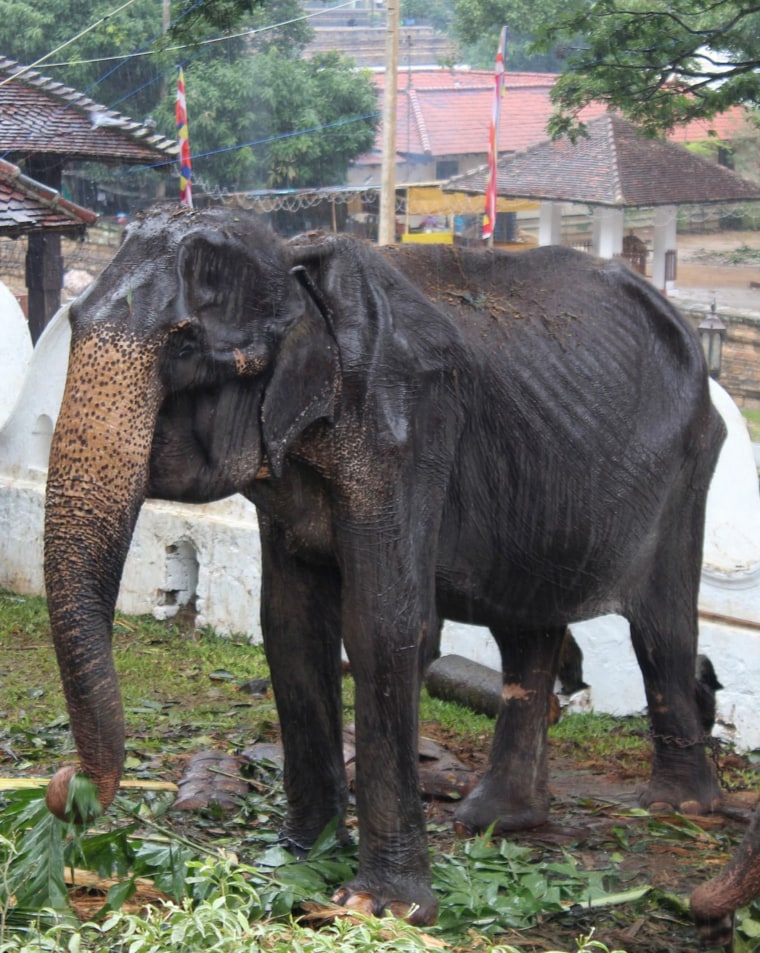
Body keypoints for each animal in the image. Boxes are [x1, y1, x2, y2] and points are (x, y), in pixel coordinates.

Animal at [44, 206, 728, 924]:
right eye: (73, 322)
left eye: (182, 346)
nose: (63, 786)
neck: (297, 263)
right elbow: (289, 626)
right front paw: (297, 855)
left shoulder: (406, 430)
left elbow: (386, 628)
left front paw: (379, 907)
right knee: (527, 633)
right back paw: (498, 820)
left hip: (686, 473)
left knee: (662, 631)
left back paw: (680, 807)